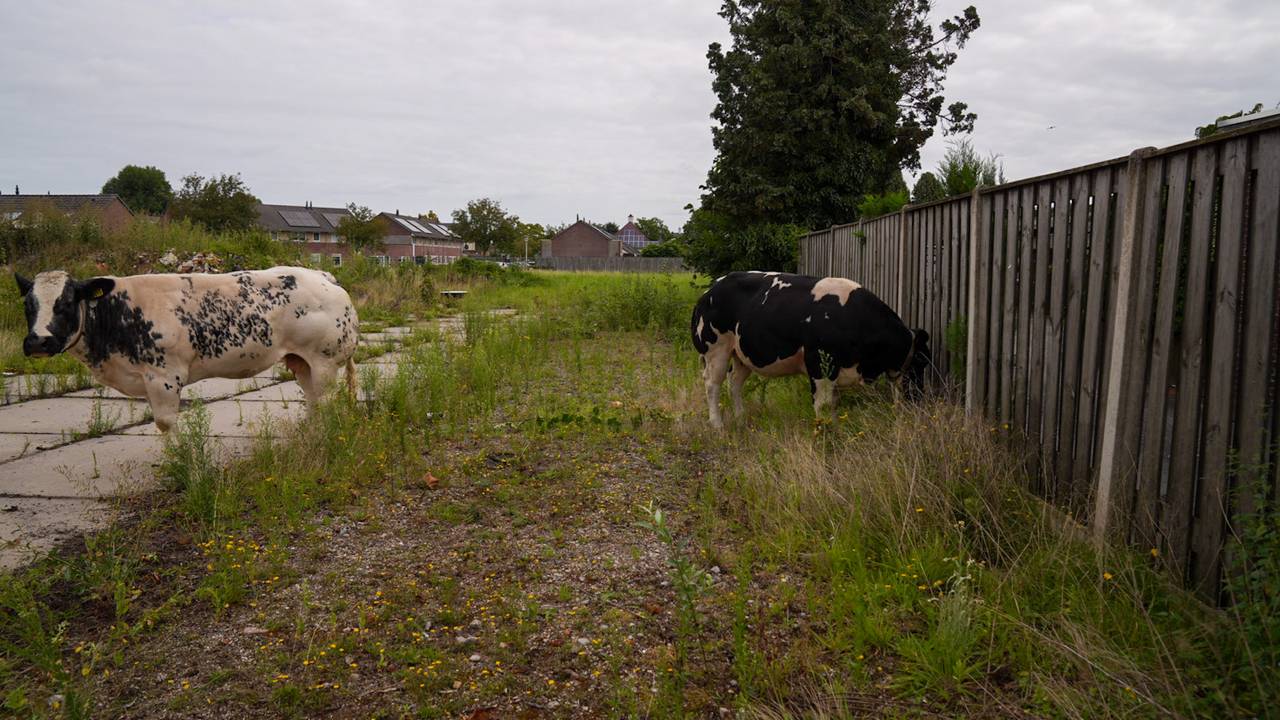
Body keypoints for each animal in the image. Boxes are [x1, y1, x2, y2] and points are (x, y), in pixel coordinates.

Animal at [15, 267, 359, 432]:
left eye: (66, 302)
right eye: (28, 305)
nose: (38, 341)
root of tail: (321, 275)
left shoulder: (163, 377)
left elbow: (165, 423)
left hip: (325, 360)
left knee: (325, 400)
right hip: (300, 360)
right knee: (312, 399)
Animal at [690, 271, 931, 427]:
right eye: (922, 362)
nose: (921, 398)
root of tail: (711, 289)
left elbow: (833, 404)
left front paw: (834, 428)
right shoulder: (819, 365)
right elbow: (823, 404)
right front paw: (825, 434)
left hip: (741, 353)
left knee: (735, 382)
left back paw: (740, 419)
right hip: (716, 350)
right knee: (712, 384)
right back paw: (717, 424)